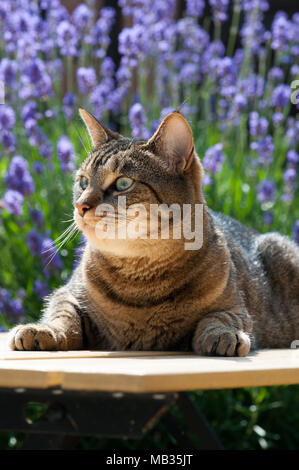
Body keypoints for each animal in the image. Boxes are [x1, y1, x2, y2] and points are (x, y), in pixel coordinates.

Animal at [8, 108, 299, 354]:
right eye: (83, 181)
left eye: (123, 183)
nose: (80, 205)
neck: (140, 277)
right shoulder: (68, 293)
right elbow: (63, 315)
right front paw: (41, 330)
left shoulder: (236, 307)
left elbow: (219, 317)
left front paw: (223, 335)